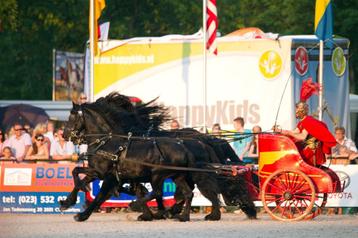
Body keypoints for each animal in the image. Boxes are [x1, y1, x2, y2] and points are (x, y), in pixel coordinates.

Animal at [63, 92, 256, 221]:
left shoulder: (107, 174)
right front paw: (68, 201)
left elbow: (101, 193)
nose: (65, 135)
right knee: (194, 191)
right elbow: (78, 174)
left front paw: (82, 212)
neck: (109, 140)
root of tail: (205, 140)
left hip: (192, 174)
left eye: (72, 118)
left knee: (207, 190)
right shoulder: (106, 172)